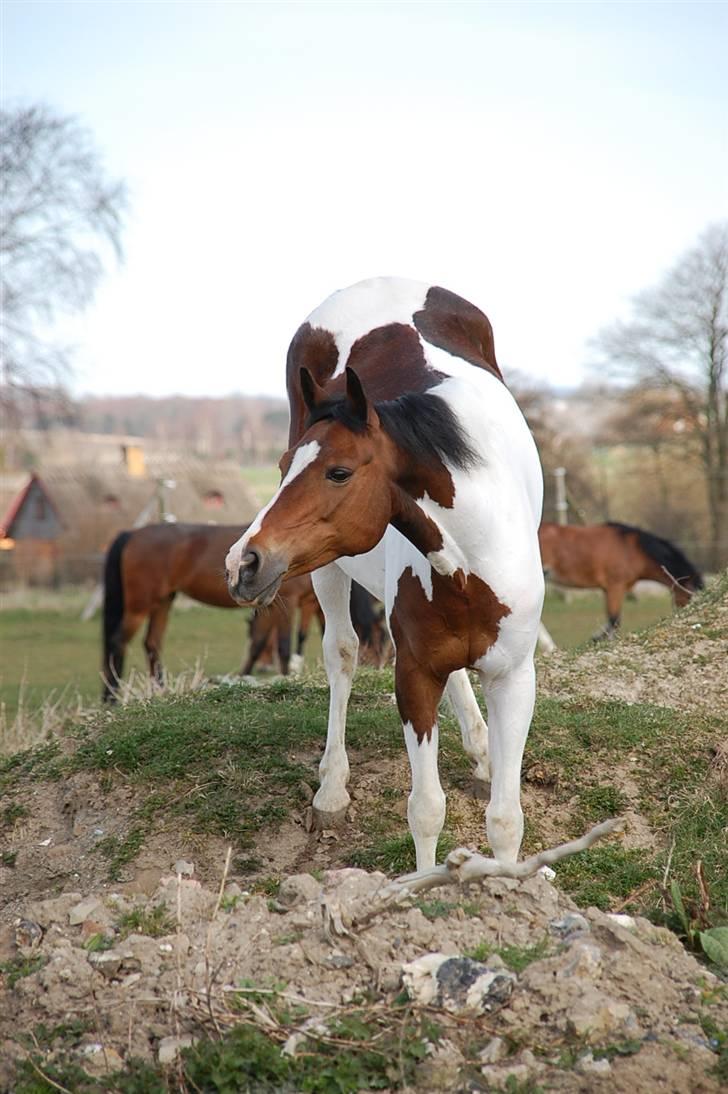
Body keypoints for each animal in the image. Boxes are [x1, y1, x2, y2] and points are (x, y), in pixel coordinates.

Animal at [100, 520, 321, 700]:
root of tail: (132, 533)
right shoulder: (288, 602)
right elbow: (283, 646)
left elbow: (257, 644)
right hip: (139, 606)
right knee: (118, 641)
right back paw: (112, 697)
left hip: (163, 601)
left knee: (152, 643)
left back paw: (159, 691)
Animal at [536, 520, 700, 638]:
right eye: (689, 595)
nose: (684, 611)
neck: (631, 549)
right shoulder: (615, 587)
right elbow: (614, 621)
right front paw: (598, 637)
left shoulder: (610, 590)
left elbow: (613, 621)